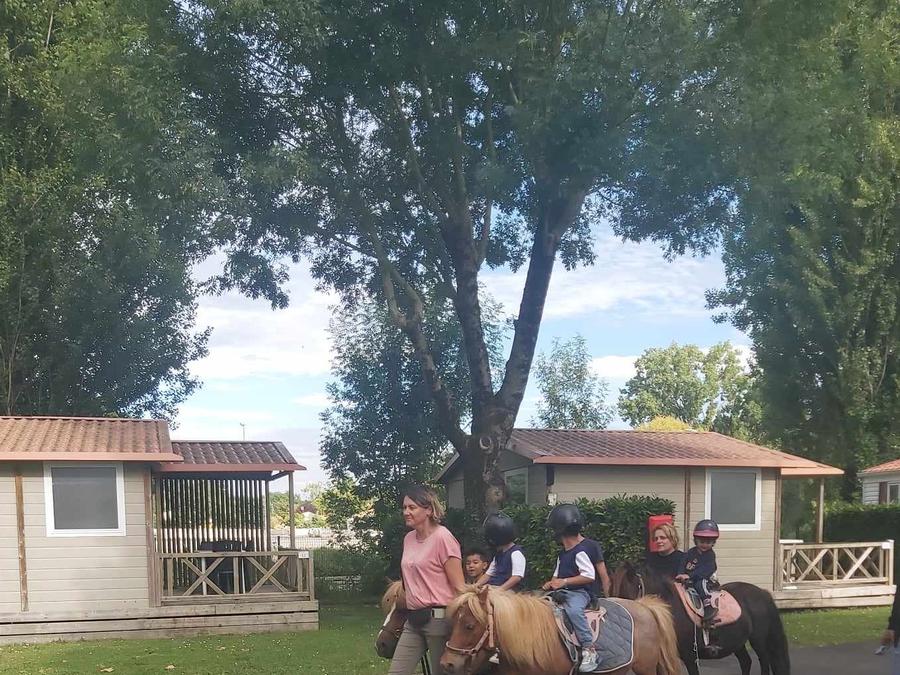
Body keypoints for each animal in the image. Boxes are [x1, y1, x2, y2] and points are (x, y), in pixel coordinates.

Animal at [610, 562, 790, 675]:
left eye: (632, 588)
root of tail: (762, 593)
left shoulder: (690, 656)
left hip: (758, 640)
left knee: (764, 661)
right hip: (737, 642)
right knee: (746, 662)